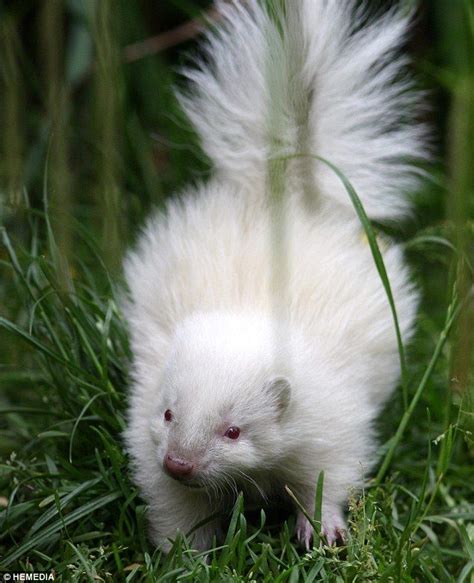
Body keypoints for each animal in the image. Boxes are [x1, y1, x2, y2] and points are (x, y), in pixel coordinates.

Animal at [122, 0, 426, 552]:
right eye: (169, 413)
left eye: (234, 431)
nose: (180, 463)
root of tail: (286, 190)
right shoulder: (145, 420)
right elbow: (173, 503)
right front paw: (188, 554)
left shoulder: (332, 418)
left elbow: (329, 473)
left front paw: (321, 529)